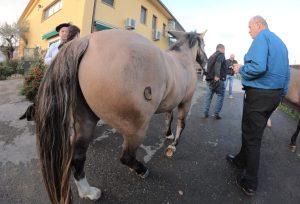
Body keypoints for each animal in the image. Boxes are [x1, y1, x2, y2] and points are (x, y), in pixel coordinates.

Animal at [35, 29, 207, 203]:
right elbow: (181, 123)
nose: (205, 62)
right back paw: (142, 170)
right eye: (204, 44)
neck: (183, 59)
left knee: (78, 158)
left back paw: (88, 192)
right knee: (126, 157)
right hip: (136, 128)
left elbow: (168, 118)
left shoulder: (172, 103)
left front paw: (168, 135)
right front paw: (173, 145)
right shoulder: (186, 101)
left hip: (85, 120)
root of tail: (86, 40)